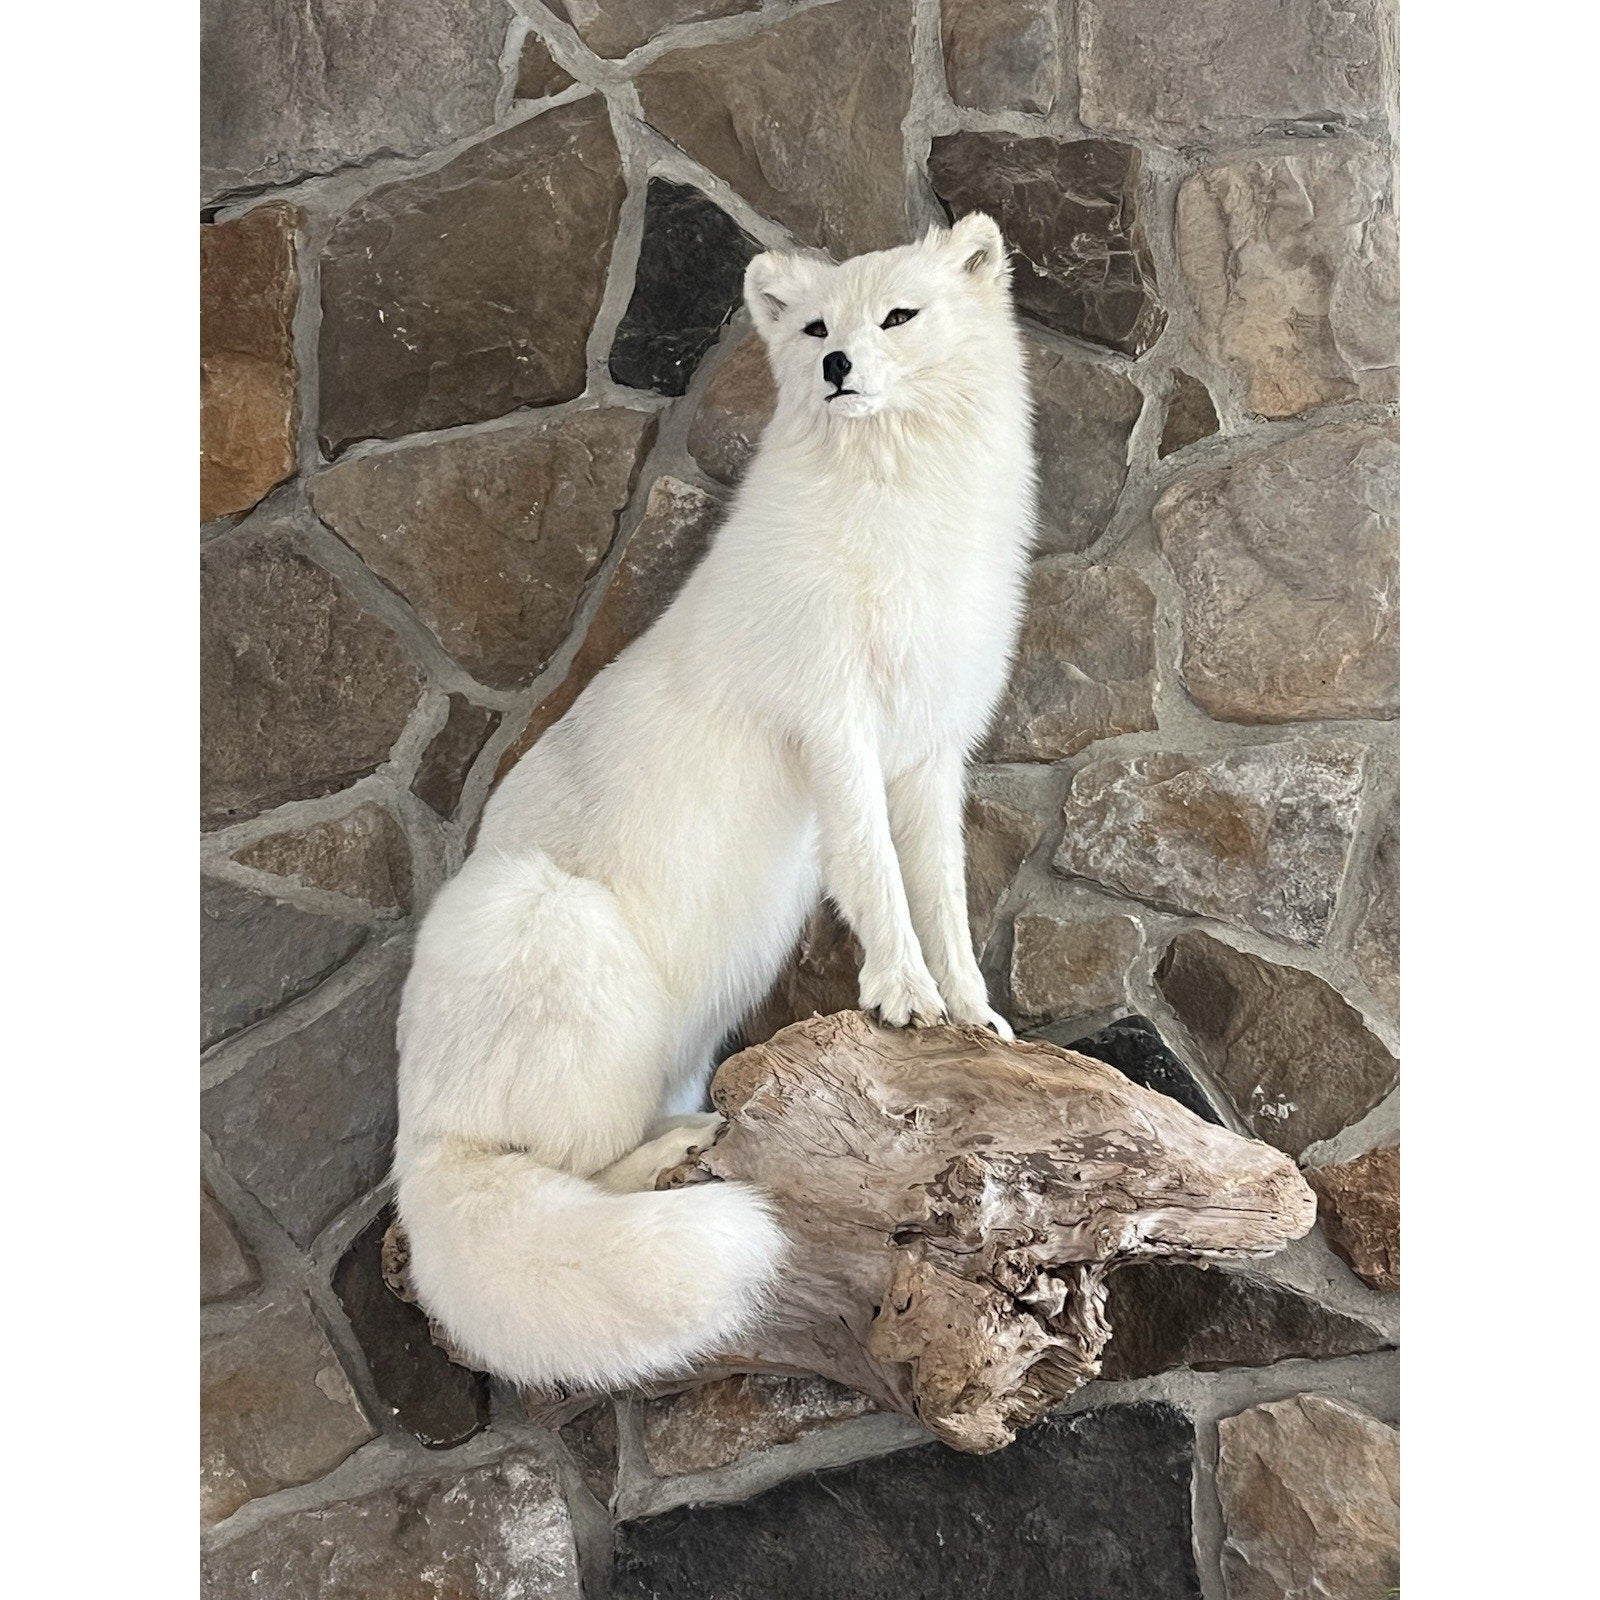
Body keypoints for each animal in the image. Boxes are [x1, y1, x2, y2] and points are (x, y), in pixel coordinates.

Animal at [393, 211, 1038, 1391]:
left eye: (898, 317)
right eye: (820, 327)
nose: (836, 367)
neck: (901, 513)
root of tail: (421, 1152)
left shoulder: (931, 753)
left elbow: (942, 893)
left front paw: (972, 1012)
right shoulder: (836, 727)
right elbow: (875, 874)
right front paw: (901, 995)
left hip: (697, 1015)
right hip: (552, 925)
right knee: (578, 1164)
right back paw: (677, 1154)